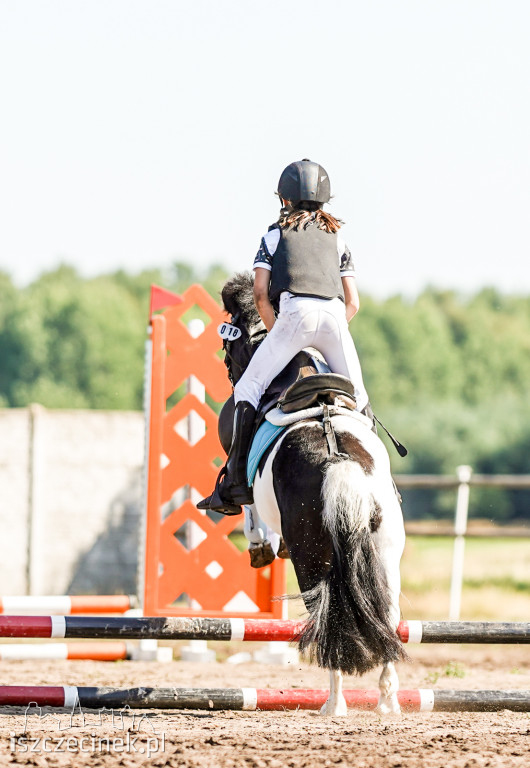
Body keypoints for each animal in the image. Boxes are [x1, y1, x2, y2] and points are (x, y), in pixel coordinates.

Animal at [217, 272, 406, 716]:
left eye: (228, 347)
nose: (231, 380)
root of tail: (340, 463)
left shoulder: (247, 484)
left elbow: (245, 501)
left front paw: (259, 545)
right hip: (386, 553)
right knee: (387, 617)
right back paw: (388, 702)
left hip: (312, 560)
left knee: (329, 620)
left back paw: (333, 703)